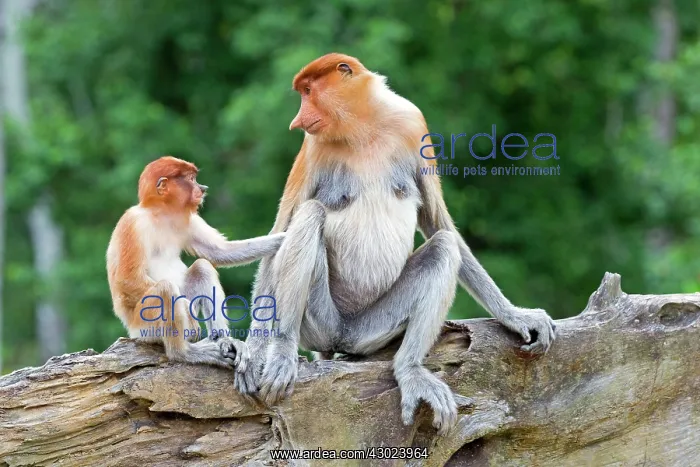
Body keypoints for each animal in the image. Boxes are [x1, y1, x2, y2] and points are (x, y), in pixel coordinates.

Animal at [106, 156, 285, 369]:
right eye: (191, 179)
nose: (203, 188)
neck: (160, 213)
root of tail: (131, 330)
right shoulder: (133, 223)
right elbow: (127, 278)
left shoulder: (188, 220)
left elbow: (219, 251)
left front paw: (284, 238)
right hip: (144, 326)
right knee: (166, 289)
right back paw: (184, 352)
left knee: (202, 267)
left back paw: (224, 341)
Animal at [233, 54, 556, 435]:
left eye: (308, 91)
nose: (298, 120)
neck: (362, 126)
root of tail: (343, 335)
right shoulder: (312, 150)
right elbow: (280, 232)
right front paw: (255, 354)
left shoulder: (413, 125)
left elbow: (438, 223)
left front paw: (514, 315)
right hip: (319, 323)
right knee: (310, 215)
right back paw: (283, 352)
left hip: (374, 327)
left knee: (443, 247)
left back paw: (410, 369)